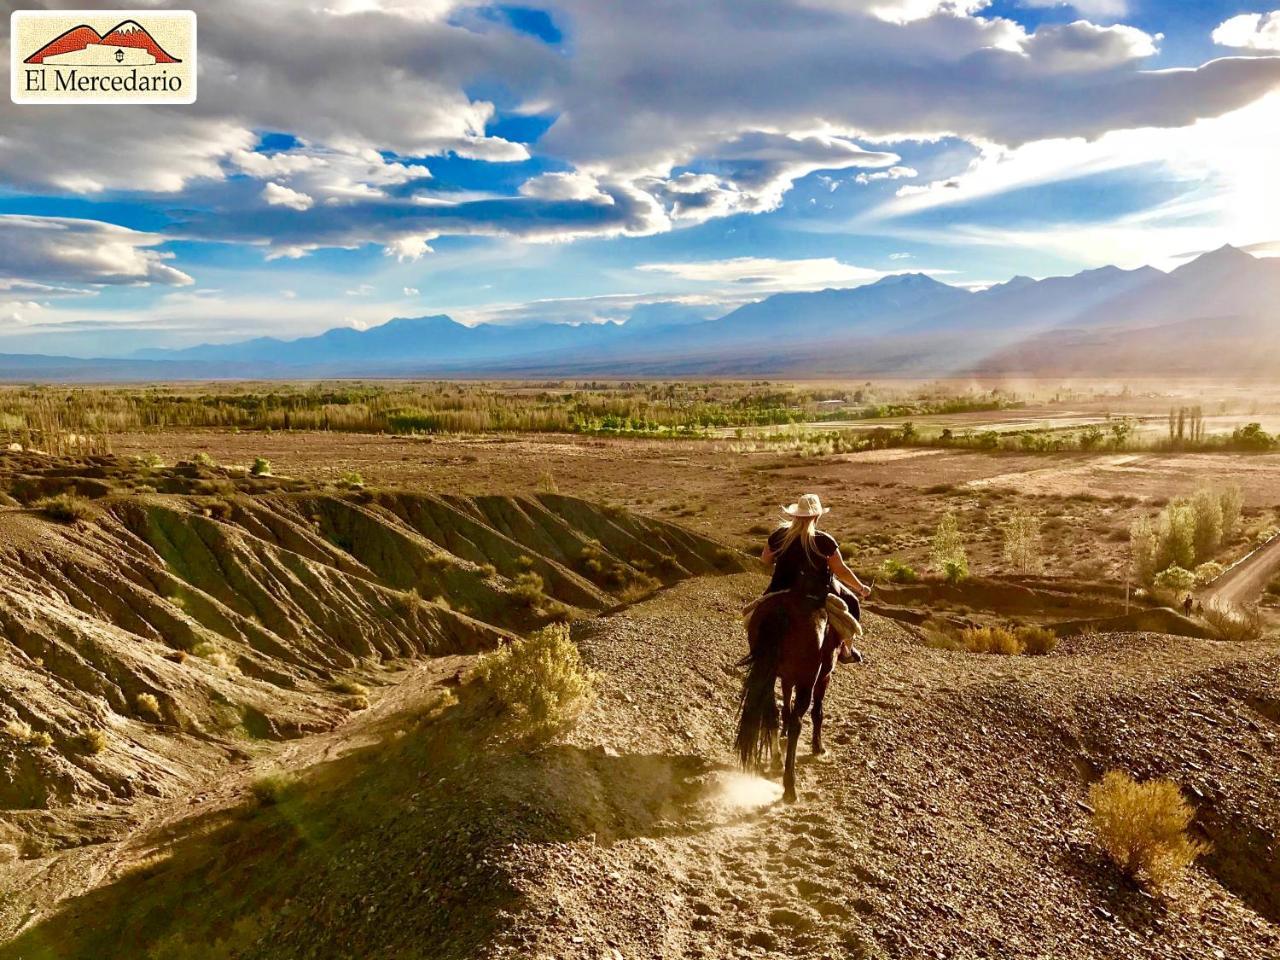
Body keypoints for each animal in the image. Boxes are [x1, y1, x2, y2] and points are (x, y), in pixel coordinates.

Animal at [732, 593, 839, 803]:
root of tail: (780, 611)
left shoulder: (787, 678)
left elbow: (786, 705)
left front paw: (785, 730)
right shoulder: (824, 676)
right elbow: (817, 711)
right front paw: (818, 747)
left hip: (769, 672)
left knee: (771, 710)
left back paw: (776, 759)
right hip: (807, 679)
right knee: (798, 722)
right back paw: (790, 786)